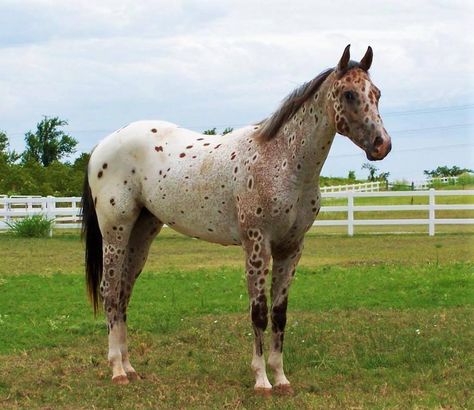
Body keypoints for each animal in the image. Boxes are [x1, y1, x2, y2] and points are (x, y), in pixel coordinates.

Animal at [81, 44, 390, 394]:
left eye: (377, 93)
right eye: (349, 93)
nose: (382, 145)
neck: (283, 160)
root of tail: (102, 146)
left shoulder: (291, 247)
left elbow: (279, 313)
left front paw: (281, 378)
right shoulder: (256, 245)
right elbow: (259, 313)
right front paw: (261, 380)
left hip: (142, 232)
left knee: (123, 292)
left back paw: (130, 368)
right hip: (116, 230)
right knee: (109, 290)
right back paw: (117, 370)